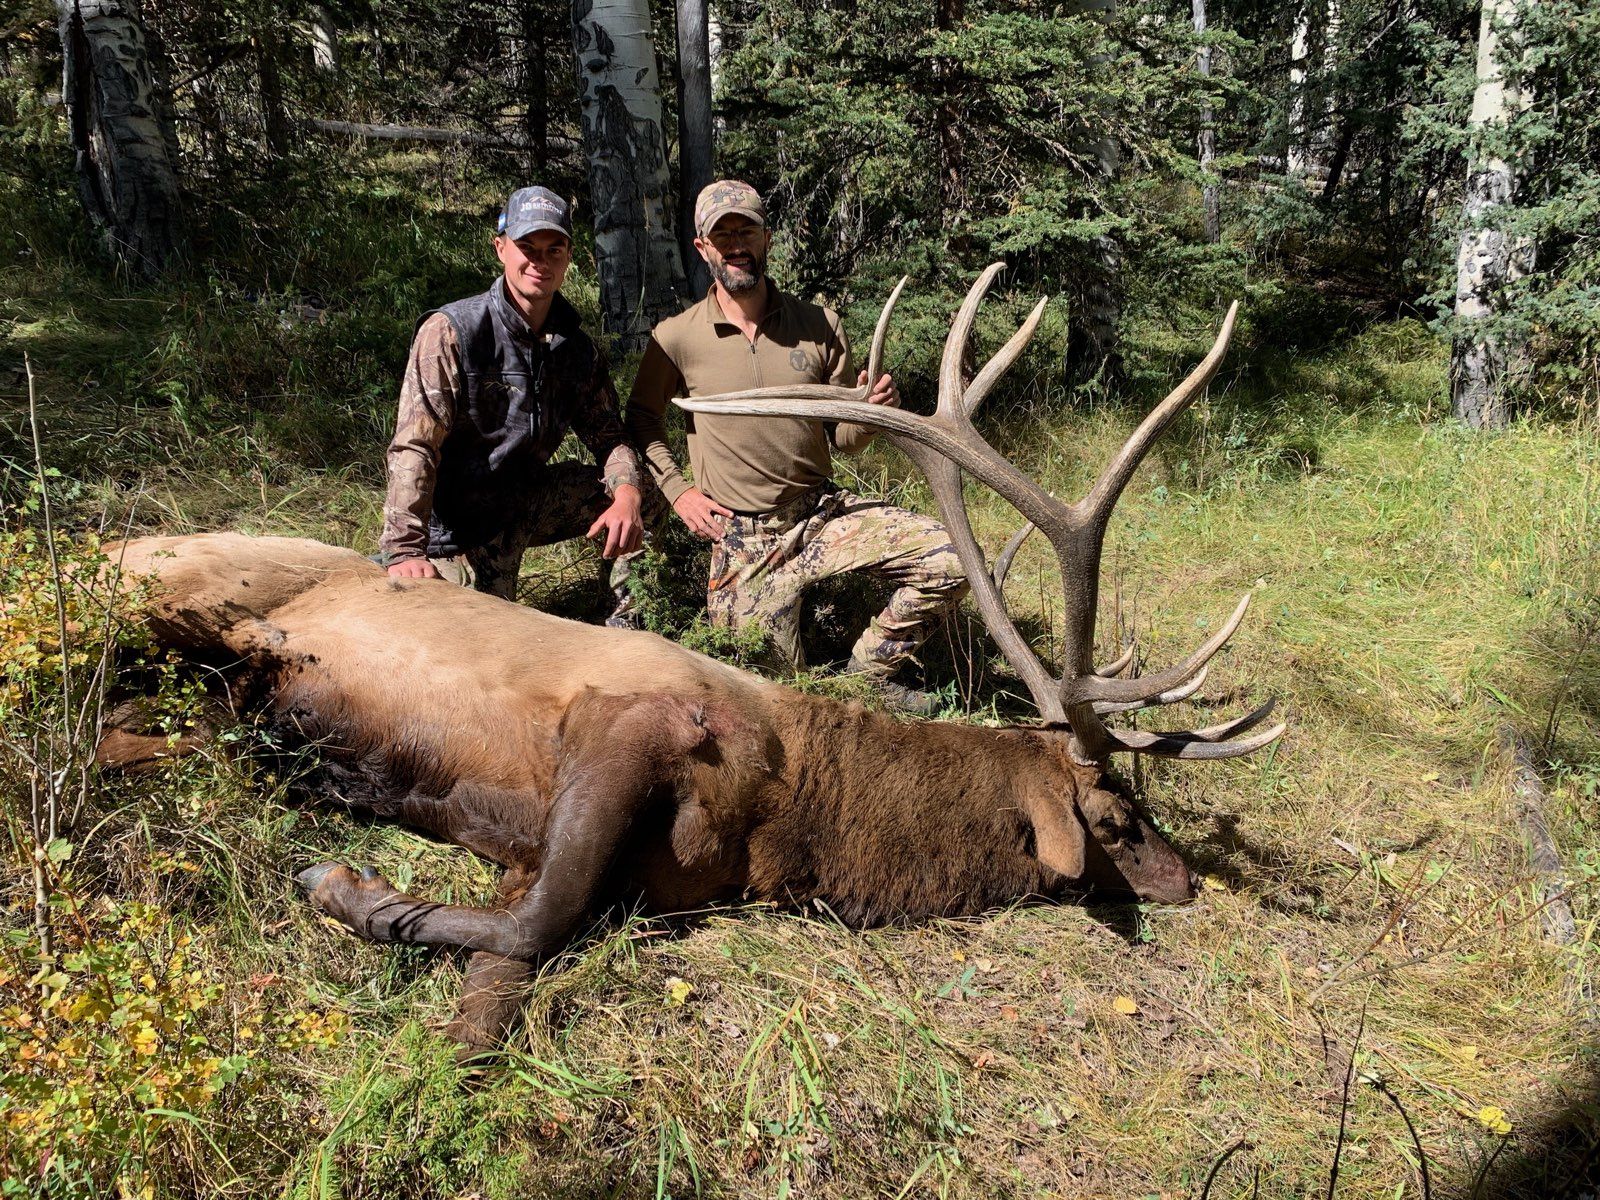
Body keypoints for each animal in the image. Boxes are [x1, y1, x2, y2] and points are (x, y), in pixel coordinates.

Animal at [98, 265, 1282, 1057]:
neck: (790, 821)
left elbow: (503, 977)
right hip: (172, 594)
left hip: (210, 698)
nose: (1185, 880)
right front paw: (342, 884)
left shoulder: (573, 858)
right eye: (1118, 818)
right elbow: (530, 926)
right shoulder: (625, 722)